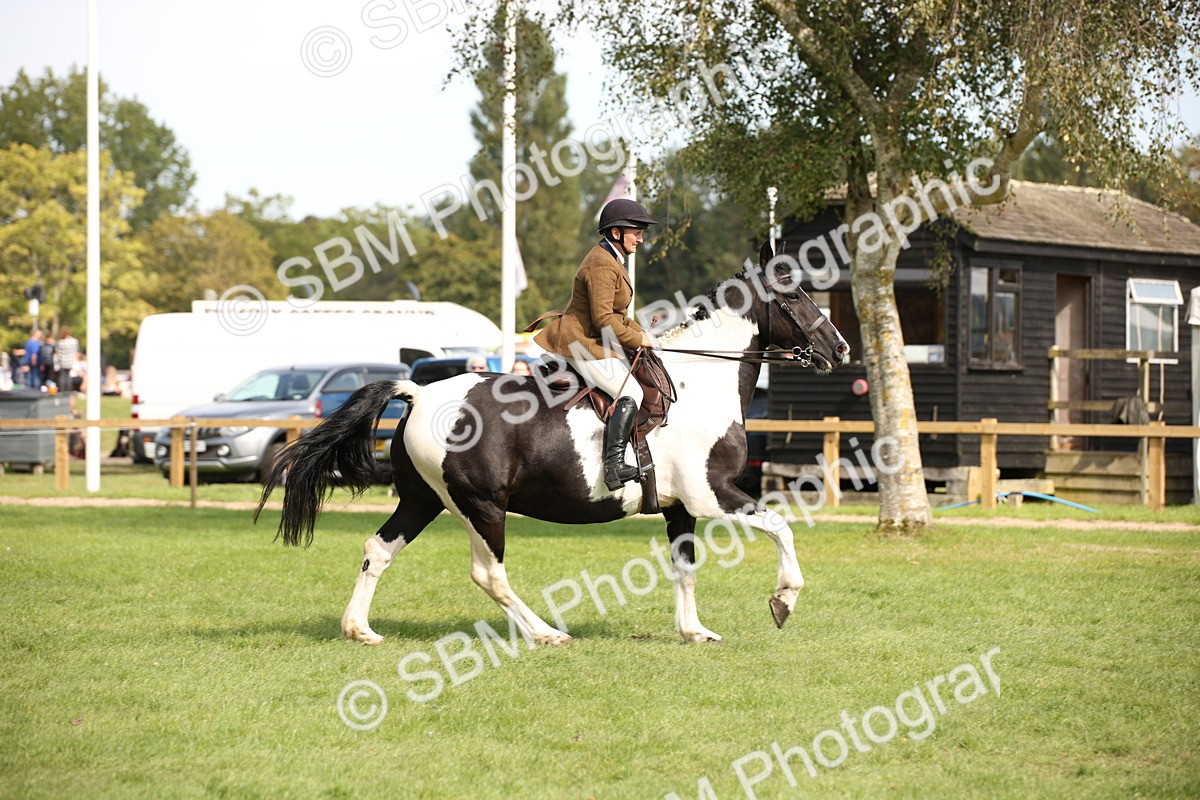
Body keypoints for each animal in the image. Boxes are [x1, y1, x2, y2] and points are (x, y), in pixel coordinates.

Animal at [256, 247, 849, 645]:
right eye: (794, 295)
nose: (839, 348)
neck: (701, 381)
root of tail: (419, 392)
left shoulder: (680, 506)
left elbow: (685, 566)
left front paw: (694, 631)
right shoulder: (713, 495)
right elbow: (781, 528)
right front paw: (783, 601)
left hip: (424, 500)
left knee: (378, 550)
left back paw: (359, 629)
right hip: (480, 506)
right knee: (489, 574)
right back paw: (545, 633)